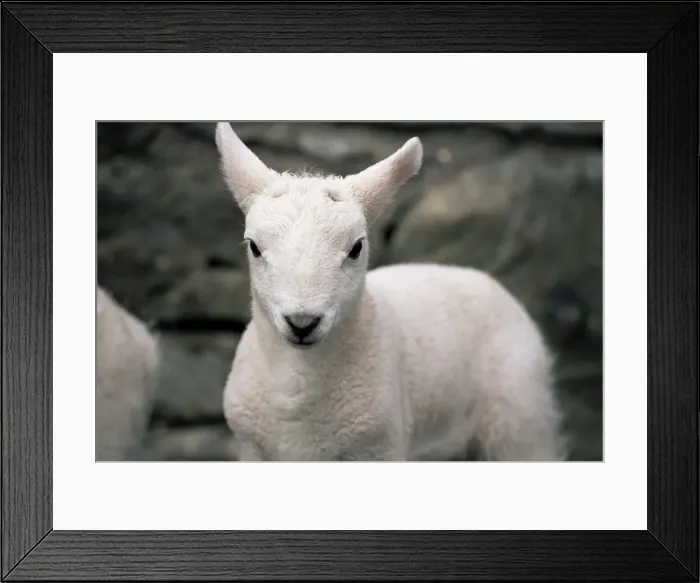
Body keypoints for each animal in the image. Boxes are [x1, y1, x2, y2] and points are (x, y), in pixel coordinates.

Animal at [216, 122, 568, 462]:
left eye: (356, 247)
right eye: (254, 247)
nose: (303, 322)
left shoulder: (377, 445)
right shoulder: (252, 449)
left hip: (519, 416)